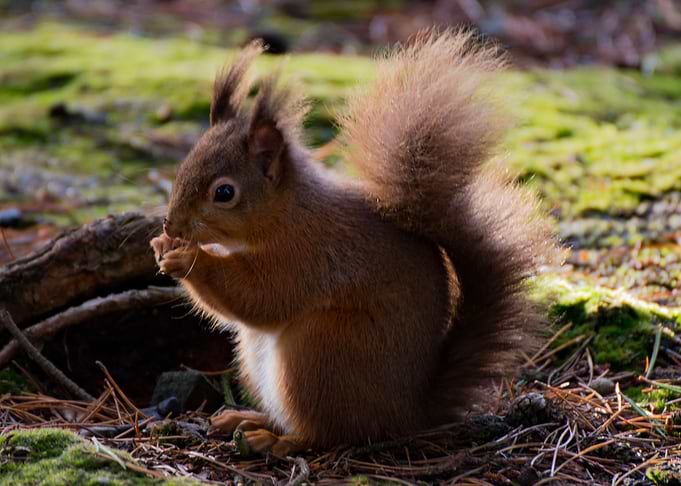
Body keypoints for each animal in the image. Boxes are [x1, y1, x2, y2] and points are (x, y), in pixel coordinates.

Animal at [150, 30, 557, 455]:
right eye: (183, 166)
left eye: (224, 192)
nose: (171, 223)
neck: (285, 213)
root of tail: (407, 413)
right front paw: (162, 244)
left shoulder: (307, 255)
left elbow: (261, 297)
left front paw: (189, 259)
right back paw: (247, 419)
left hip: (319, 356)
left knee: (325, 434)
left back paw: (275, 440)